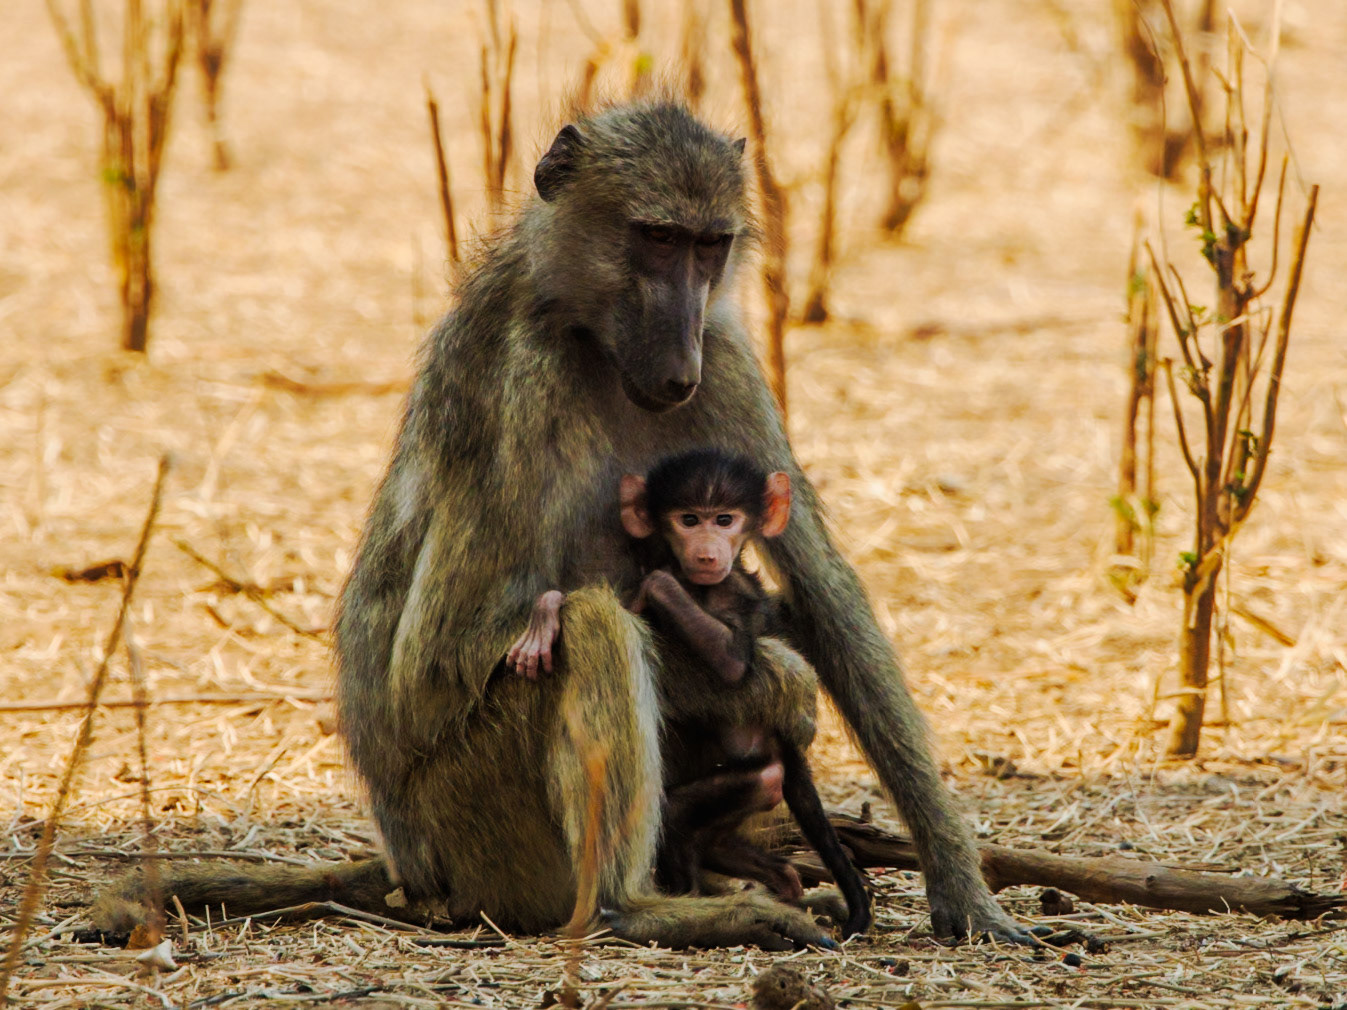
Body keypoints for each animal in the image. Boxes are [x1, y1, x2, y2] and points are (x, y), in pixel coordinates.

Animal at [92, 97, 1032, 949]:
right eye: (655, 238)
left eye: (708, 246)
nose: (678, 364)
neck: (584, 330)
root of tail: (412, 869)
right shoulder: (522, 384)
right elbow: (436, 662)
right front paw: (776, 683)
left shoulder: (728, 361)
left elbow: (825, 593)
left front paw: (964, 892)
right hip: (483, 829)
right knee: (589, 626)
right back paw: (646, 907)